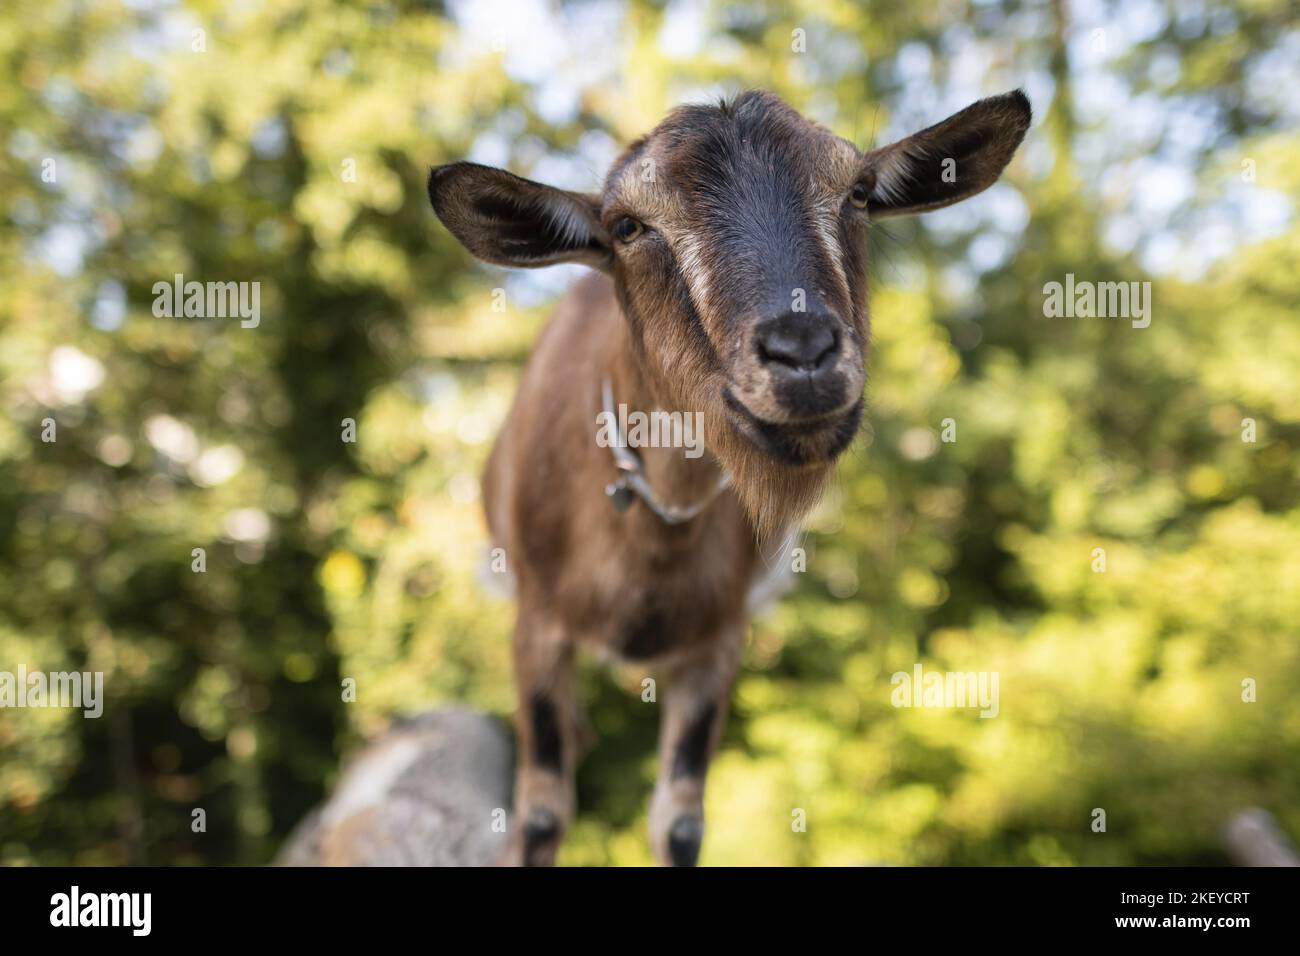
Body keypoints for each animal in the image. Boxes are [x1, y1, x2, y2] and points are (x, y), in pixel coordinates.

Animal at [427, 89, 1030, 866]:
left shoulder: (718, 642)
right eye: (627, 226)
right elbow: (539, 812)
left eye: (859, 192)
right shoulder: (536, 625)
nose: (803, 354)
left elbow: (682, 818)